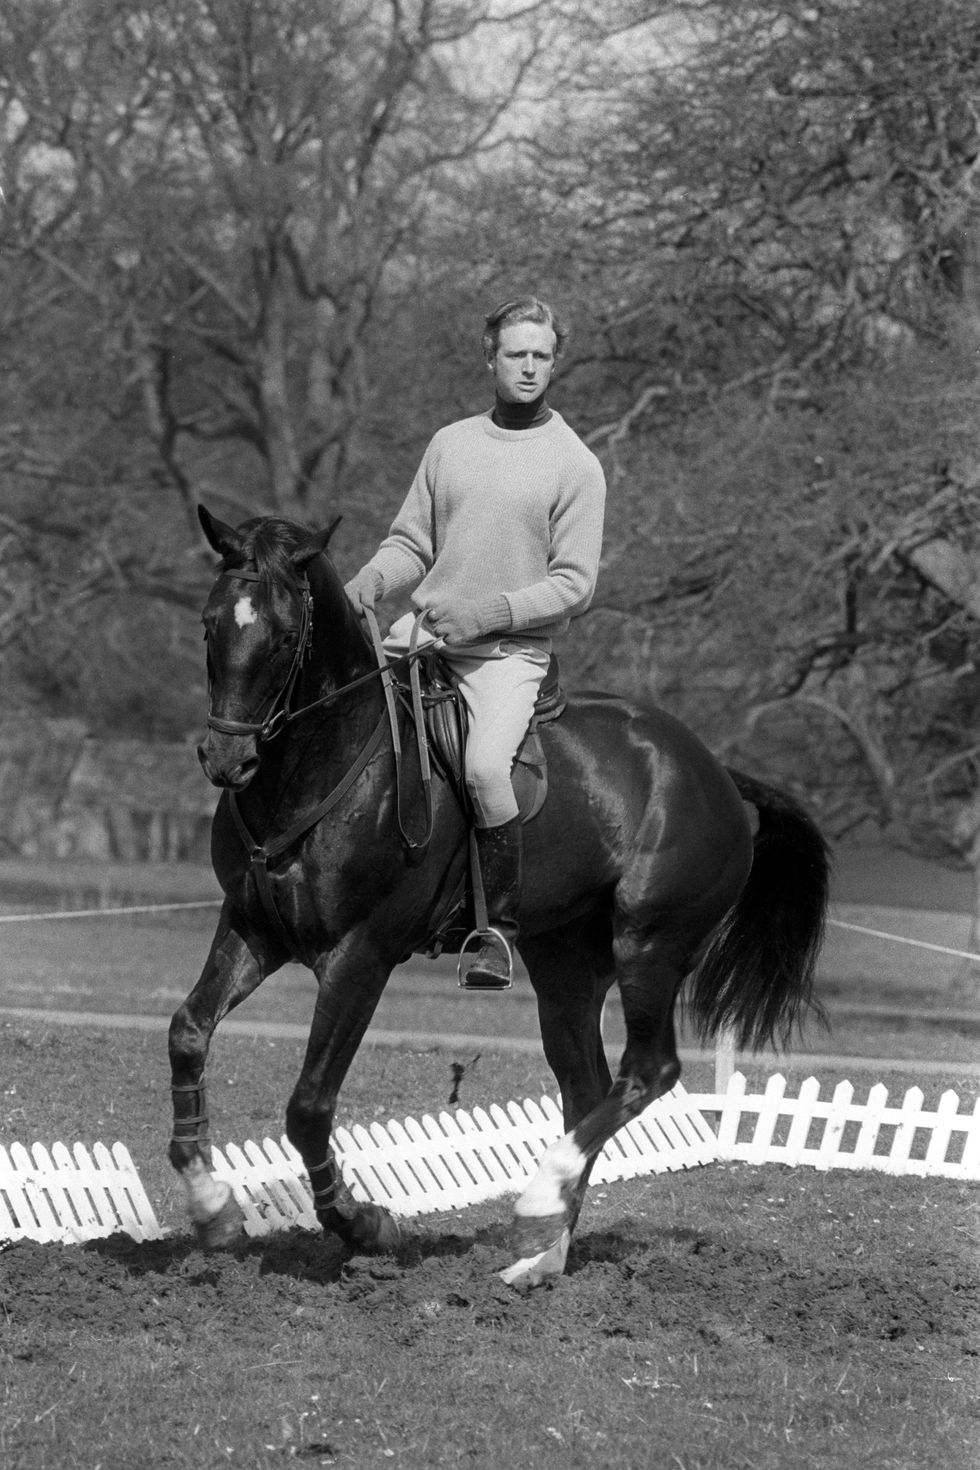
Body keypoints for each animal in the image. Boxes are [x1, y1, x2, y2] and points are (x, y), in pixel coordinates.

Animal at [170, 505, 828, 1287]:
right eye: (210, 624)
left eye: (283, 637)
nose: (225, 760)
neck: (316, 767)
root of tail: (717, 773)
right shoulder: (251, 930)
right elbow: (188, 1033)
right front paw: (213, 1210)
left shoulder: (360, 956)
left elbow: (308, 1107)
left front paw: (365, 1226)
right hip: (564, 963)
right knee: (586, 1087)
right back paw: (540, 1254)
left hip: (650, 946)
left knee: (648, 1070)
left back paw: (539, 1203)